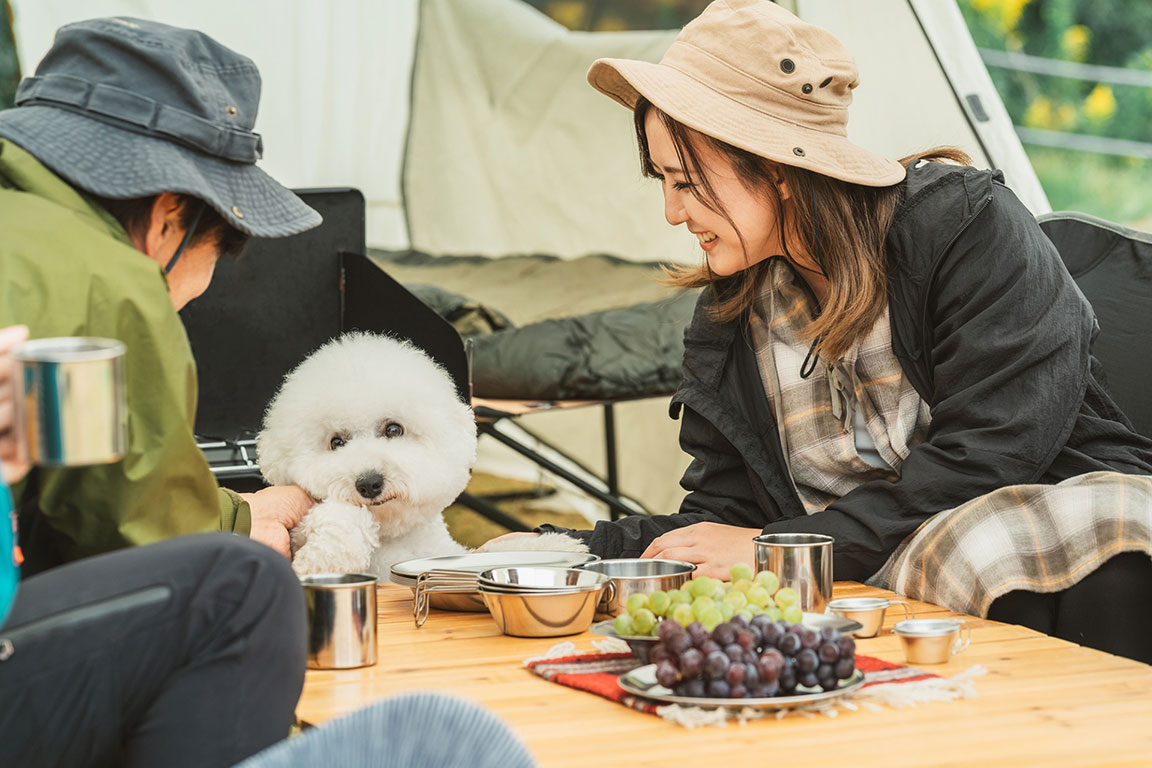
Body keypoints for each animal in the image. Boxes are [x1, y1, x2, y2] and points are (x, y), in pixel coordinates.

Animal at [259, 331, 585, 575]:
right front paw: (325, 560)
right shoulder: (300, 527)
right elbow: (341, 517)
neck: (394, 538)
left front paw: (557, 547)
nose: (368, 483)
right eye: (336, 443)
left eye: (393, 429)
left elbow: (495, 551)